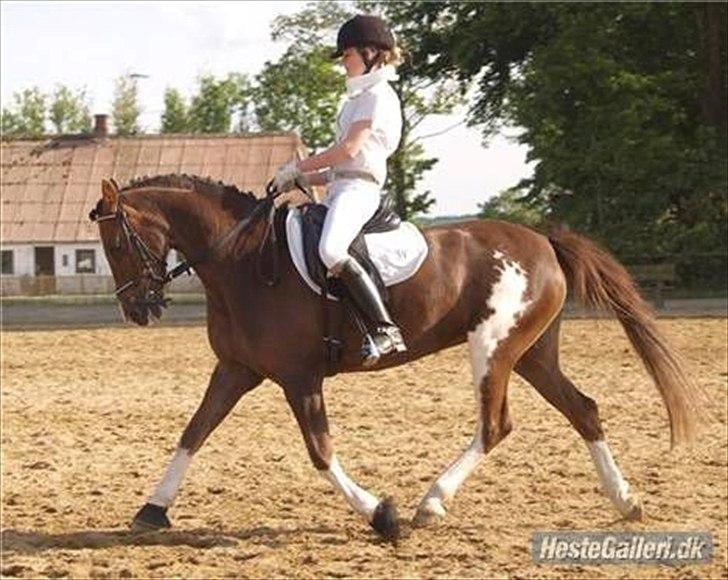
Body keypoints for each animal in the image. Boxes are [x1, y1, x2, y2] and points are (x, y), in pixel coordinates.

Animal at [90, 174, 701, 540]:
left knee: (495, 424)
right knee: (583, 410)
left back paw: (430, 503)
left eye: (116, 245)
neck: (242, 262)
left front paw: (380, 515)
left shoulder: (298, 377)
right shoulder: (237, 370)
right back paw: (626, 501)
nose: (137, 310)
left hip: (494, 348)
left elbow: (320, 452)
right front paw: (152, 509)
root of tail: (545, 242)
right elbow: (193, 433)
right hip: (532, 355)